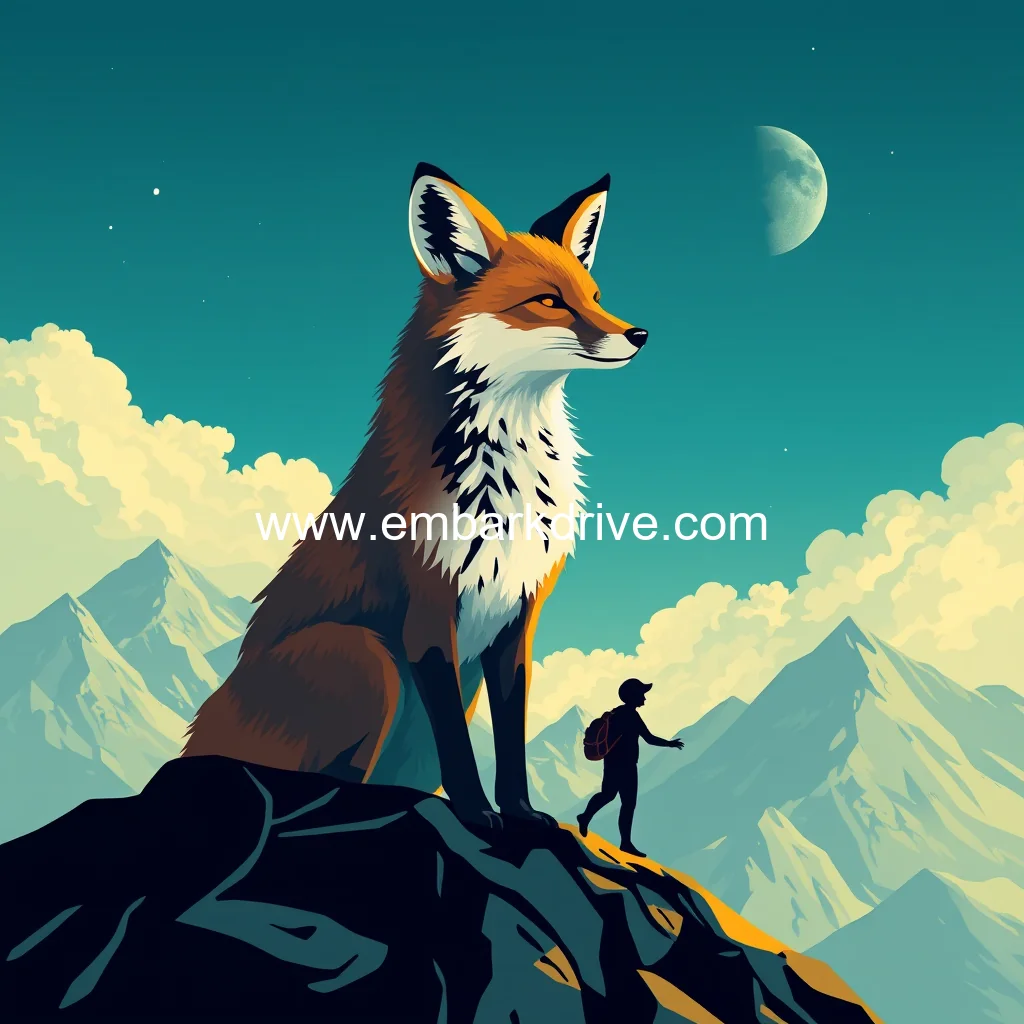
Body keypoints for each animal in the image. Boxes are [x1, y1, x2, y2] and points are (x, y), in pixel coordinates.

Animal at [181, 163, 648, 828]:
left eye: (595, 296)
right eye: (548, 301)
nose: (639, 334)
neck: (507, 486)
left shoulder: (518, 615)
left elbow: (511, 735)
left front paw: (521, 814)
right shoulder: (428, 608)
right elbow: (457, 739)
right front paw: (478, 815)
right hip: (367, 660)